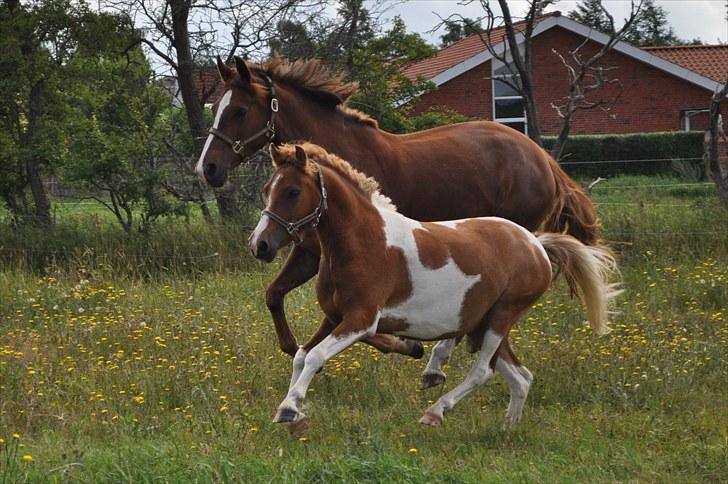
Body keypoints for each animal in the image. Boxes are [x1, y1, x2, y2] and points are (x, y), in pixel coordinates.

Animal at [196, 57, 600, 360]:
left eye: (239, 111)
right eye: (215, 108)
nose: (208, 168)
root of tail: (544, 159)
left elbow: (362, 325)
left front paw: (405, 344)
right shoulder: (309, 250)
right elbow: (274, 295)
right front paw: (293, 348)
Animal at [250, 144, 620, 432]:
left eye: (293, 192)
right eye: (266, 188)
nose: (260, 244)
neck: (365, 241)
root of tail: (536, 244)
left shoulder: (361, 320)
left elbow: (314, 356)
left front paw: (290, 409)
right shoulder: (333, 317)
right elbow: (301, 355)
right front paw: (292, 412)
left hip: (503, 316)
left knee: (483, 371)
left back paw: (435, 411)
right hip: (483, 325)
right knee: (520, 376)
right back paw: (507, 429)